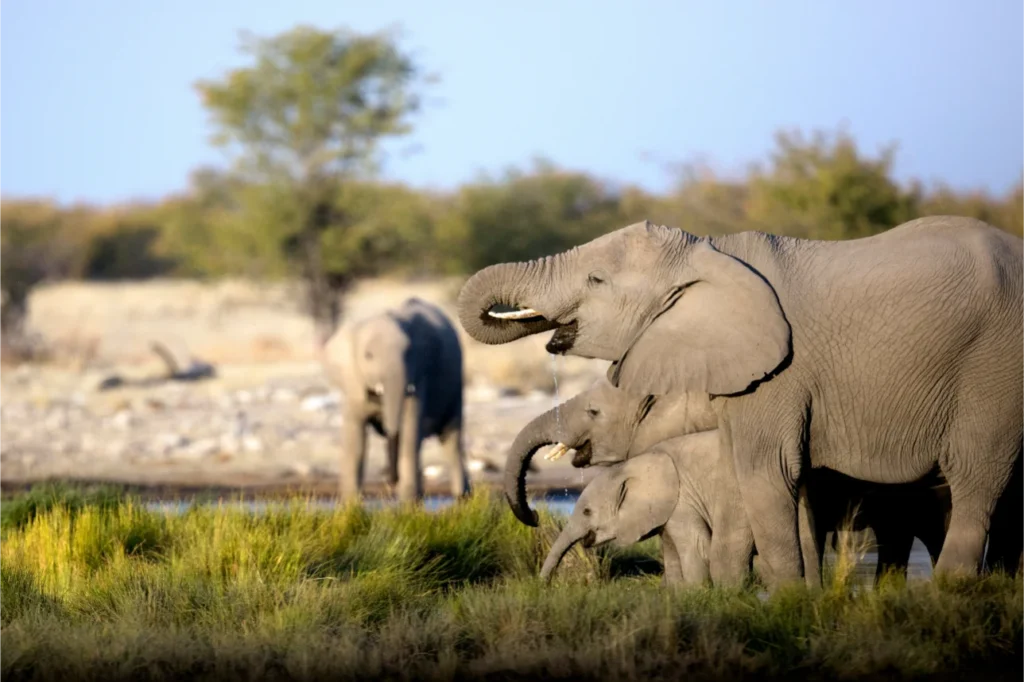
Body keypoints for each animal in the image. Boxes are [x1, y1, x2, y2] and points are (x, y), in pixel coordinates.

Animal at [322, 297, 471, 502]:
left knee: (451, 440)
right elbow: (355, 440)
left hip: (456, 386)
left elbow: (409, 431)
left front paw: (408, 504)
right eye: (368, 356)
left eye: (408, 354)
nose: (390, 479)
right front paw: (351, 504)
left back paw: (462, 498)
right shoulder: (354, 383)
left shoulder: (419, 374)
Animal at [457, 215, 1024, 585]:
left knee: (976, 478)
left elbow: (765, 471)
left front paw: (784, 606)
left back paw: (948, 597)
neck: (709, 253)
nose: (534, 516)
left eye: (596, 280)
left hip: (994, 367)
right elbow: (788, 484)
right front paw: (803, 599)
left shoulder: (780, 374)